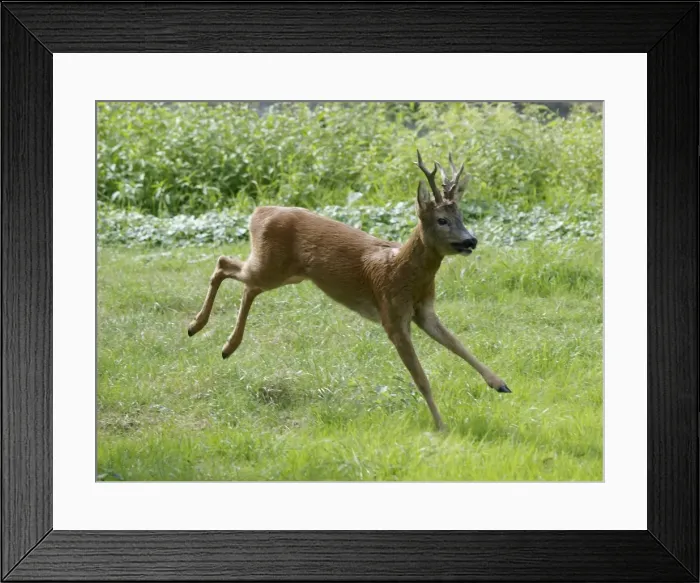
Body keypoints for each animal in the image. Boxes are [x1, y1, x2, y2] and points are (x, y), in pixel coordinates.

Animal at [187, 151, 511, 431]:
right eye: (442, 220)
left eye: (462, 217)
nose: (471, 240)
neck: (402, 271)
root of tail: (259, 212)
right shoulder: (391, 315)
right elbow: (421, 377)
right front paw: (441, 426)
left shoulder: (424, 311)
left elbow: (458, 344)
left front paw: (499, 383)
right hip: (270, 267)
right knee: (224, 264)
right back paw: (196, 327)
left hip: (286, 273)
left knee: (246, 285)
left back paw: (227, 346)